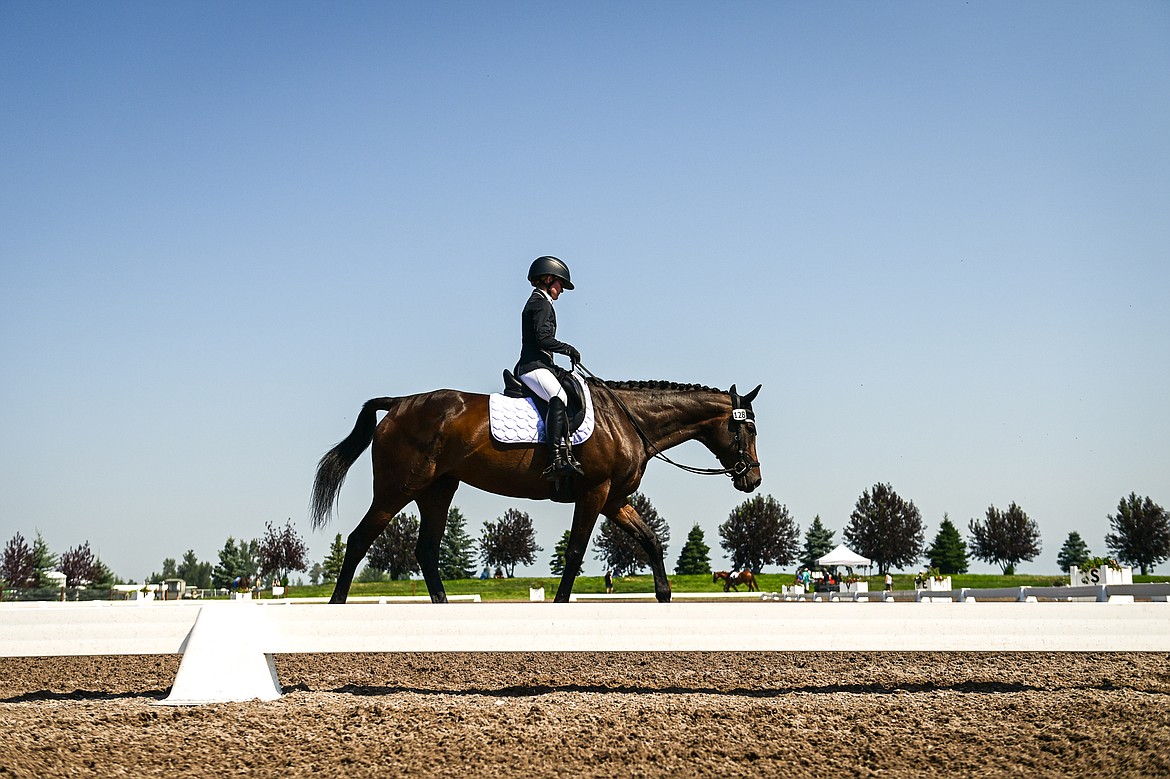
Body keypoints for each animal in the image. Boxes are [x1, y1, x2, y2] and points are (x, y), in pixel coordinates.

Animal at [313, 376, 767, 598]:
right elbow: (575, 553)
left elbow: (651, 542)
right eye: (748, 429)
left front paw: (664, 596)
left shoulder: (614, 499)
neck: (628, 421)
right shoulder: (594, 493)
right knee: (359, 541)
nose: (753, 479)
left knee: (425, 550)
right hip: (397, 489)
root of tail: (399, 403)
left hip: (438, 490)